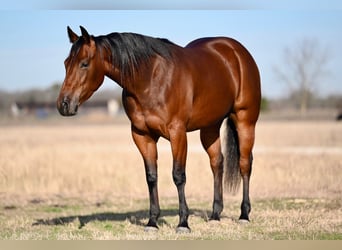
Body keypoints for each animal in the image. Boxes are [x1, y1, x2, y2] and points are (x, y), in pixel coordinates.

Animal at [56, 25, 260, 232]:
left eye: (84, 64)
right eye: (66, 63)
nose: (64, 104)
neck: (150, 79)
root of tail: (236, 51)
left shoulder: (177, 133)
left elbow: (178, 175)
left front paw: (183, 223)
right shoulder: (142, 135)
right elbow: (151, 176)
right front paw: (152, 222)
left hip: (245, 121)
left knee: (245, 164)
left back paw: (244, 214)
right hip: (210, 127)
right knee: (217, 163)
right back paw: (215, 215)